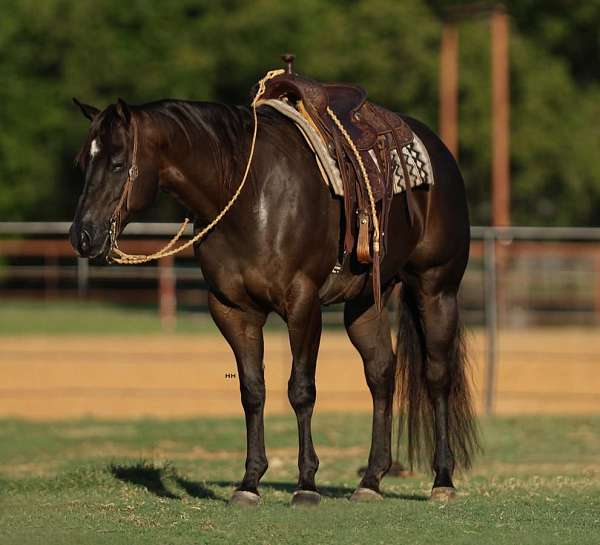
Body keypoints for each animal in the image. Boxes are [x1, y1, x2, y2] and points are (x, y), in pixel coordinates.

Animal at [69, 94, 478, 506]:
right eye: (84, 163)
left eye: (117, 163)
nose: (82, 236)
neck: (248, 196)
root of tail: (438, 149)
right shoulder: (233, 310)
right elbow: (252, 391)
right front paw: (249, 483)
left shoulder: (303, 304)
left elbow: (301, 390)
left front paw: (307, 485)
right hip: (365, 304)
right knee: (381, 374)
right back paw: (370, 481)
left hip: (436, 289)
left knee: (437, 376)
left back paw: (442, 480)